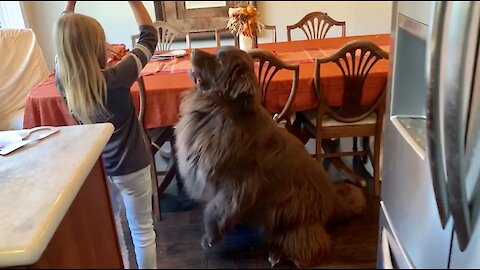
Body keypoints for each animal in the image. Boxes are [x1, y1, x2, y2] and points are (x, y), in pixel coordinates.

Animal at [174, 46, 366, 268]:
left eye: (220, 60)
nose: (194, 50)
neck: (219, 110)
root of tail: (333, 200)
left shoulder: (240, 183)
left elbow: (216, 209)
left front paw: (209, 237)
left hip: (290, 209)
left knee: (310, 245)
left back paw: (281, 255)